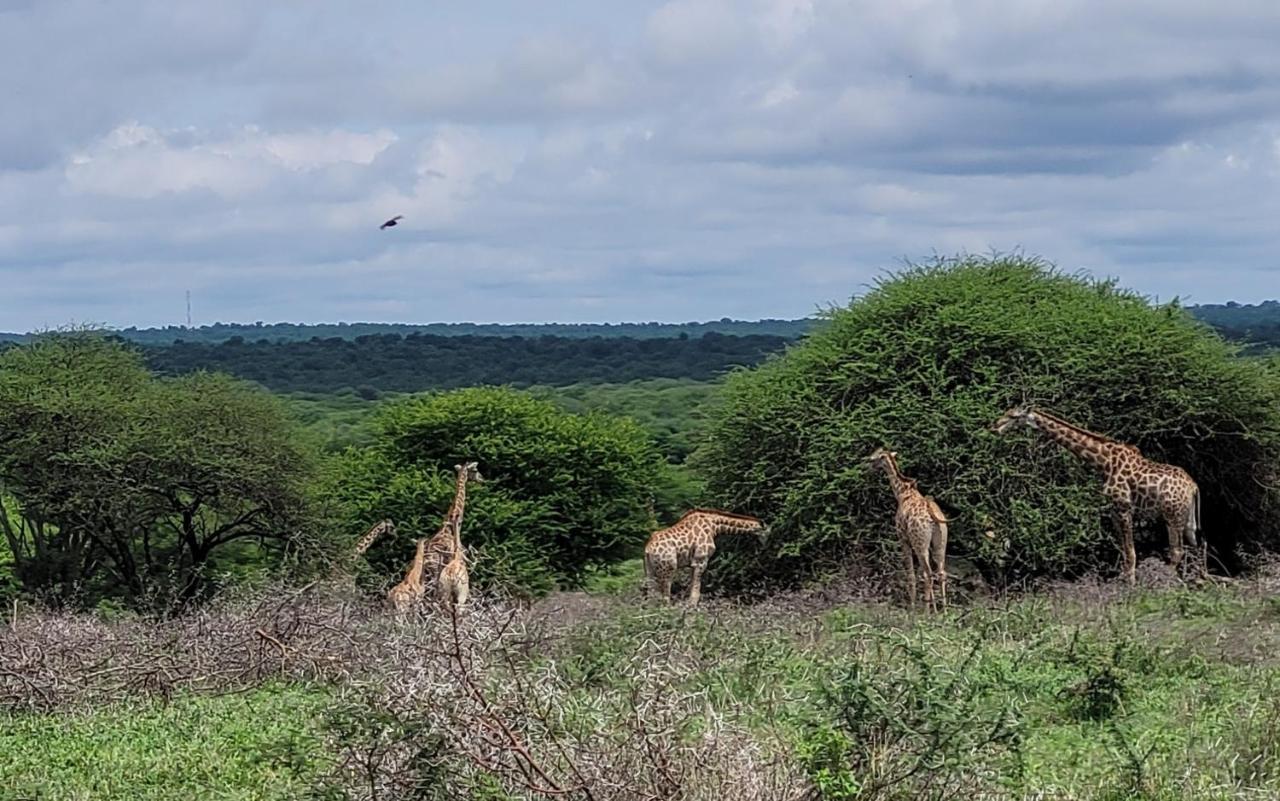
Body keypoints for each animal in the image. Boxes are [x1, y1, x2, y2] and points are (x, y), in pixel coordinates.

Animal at [640, 509, 768, 601]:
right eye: (767, 532)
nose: (764, 546)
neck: (714, 526)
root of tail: (648, 548)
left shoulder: (693, 564)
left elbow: (691, 592)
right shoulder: (701, 561)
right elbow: (695, 595)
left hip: (649, 570)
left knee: (651, 597)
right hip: (667, 569)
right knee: (665, 598)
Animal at [865, 445, 947, 609]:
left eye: (873, 458)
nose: (867, 468)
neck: (902, 493)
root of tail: (932, 515)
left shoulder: (903, 538)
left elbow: (911, 574)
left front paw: (913, 607)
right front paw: (934, 608)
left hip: (920, 543)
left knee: (928, 574)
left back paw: (924, 611)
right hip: (940, 542)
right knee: (940, 573)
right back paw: (945, 610)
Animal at [988, 409, 1198, 583]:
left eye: (1013, 416)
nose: (994, 427)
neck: (1104, 462)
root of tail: (1193, 487)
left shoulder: (1124, 508)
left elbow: (1131, 552)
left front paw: (1130, 586)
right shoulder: (1113, 511)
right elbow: (1124, 550)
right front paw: (1123, 581)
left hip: (1173, 517)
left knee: (1176, 551)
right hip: (1187, 520)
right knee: (1192, 545)